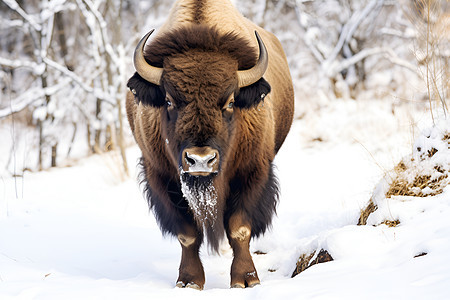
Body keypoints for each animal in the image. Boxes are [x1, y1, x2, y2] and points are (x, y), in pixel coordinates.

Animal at [125, 0, 296, 290]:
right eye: (168, 100)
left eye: (230, 102)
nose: (201, 160)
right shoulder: (161, 177)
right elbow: (187, 234)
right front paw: (189, 281)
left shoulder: (253, 171)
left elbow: (239, 228)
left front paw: (246, 280)